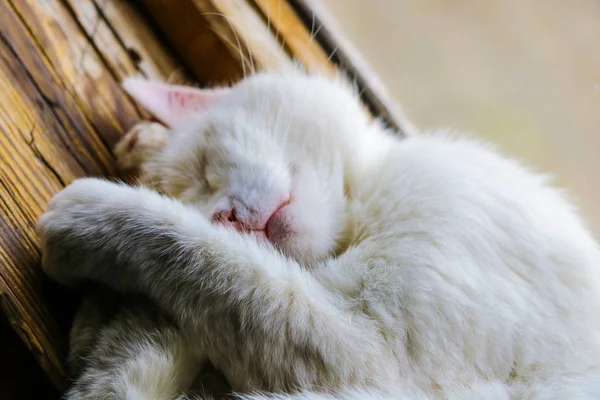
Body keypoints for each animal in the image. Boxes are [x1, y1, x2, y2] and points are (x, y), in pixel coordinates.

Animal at [37, 70, 600, 398]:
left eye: (204, 170)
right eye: (200, 192)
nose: (225, 216)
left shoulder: (371, 356)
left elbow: (206, 260)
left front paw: (83, 219)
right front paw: (98, 325)